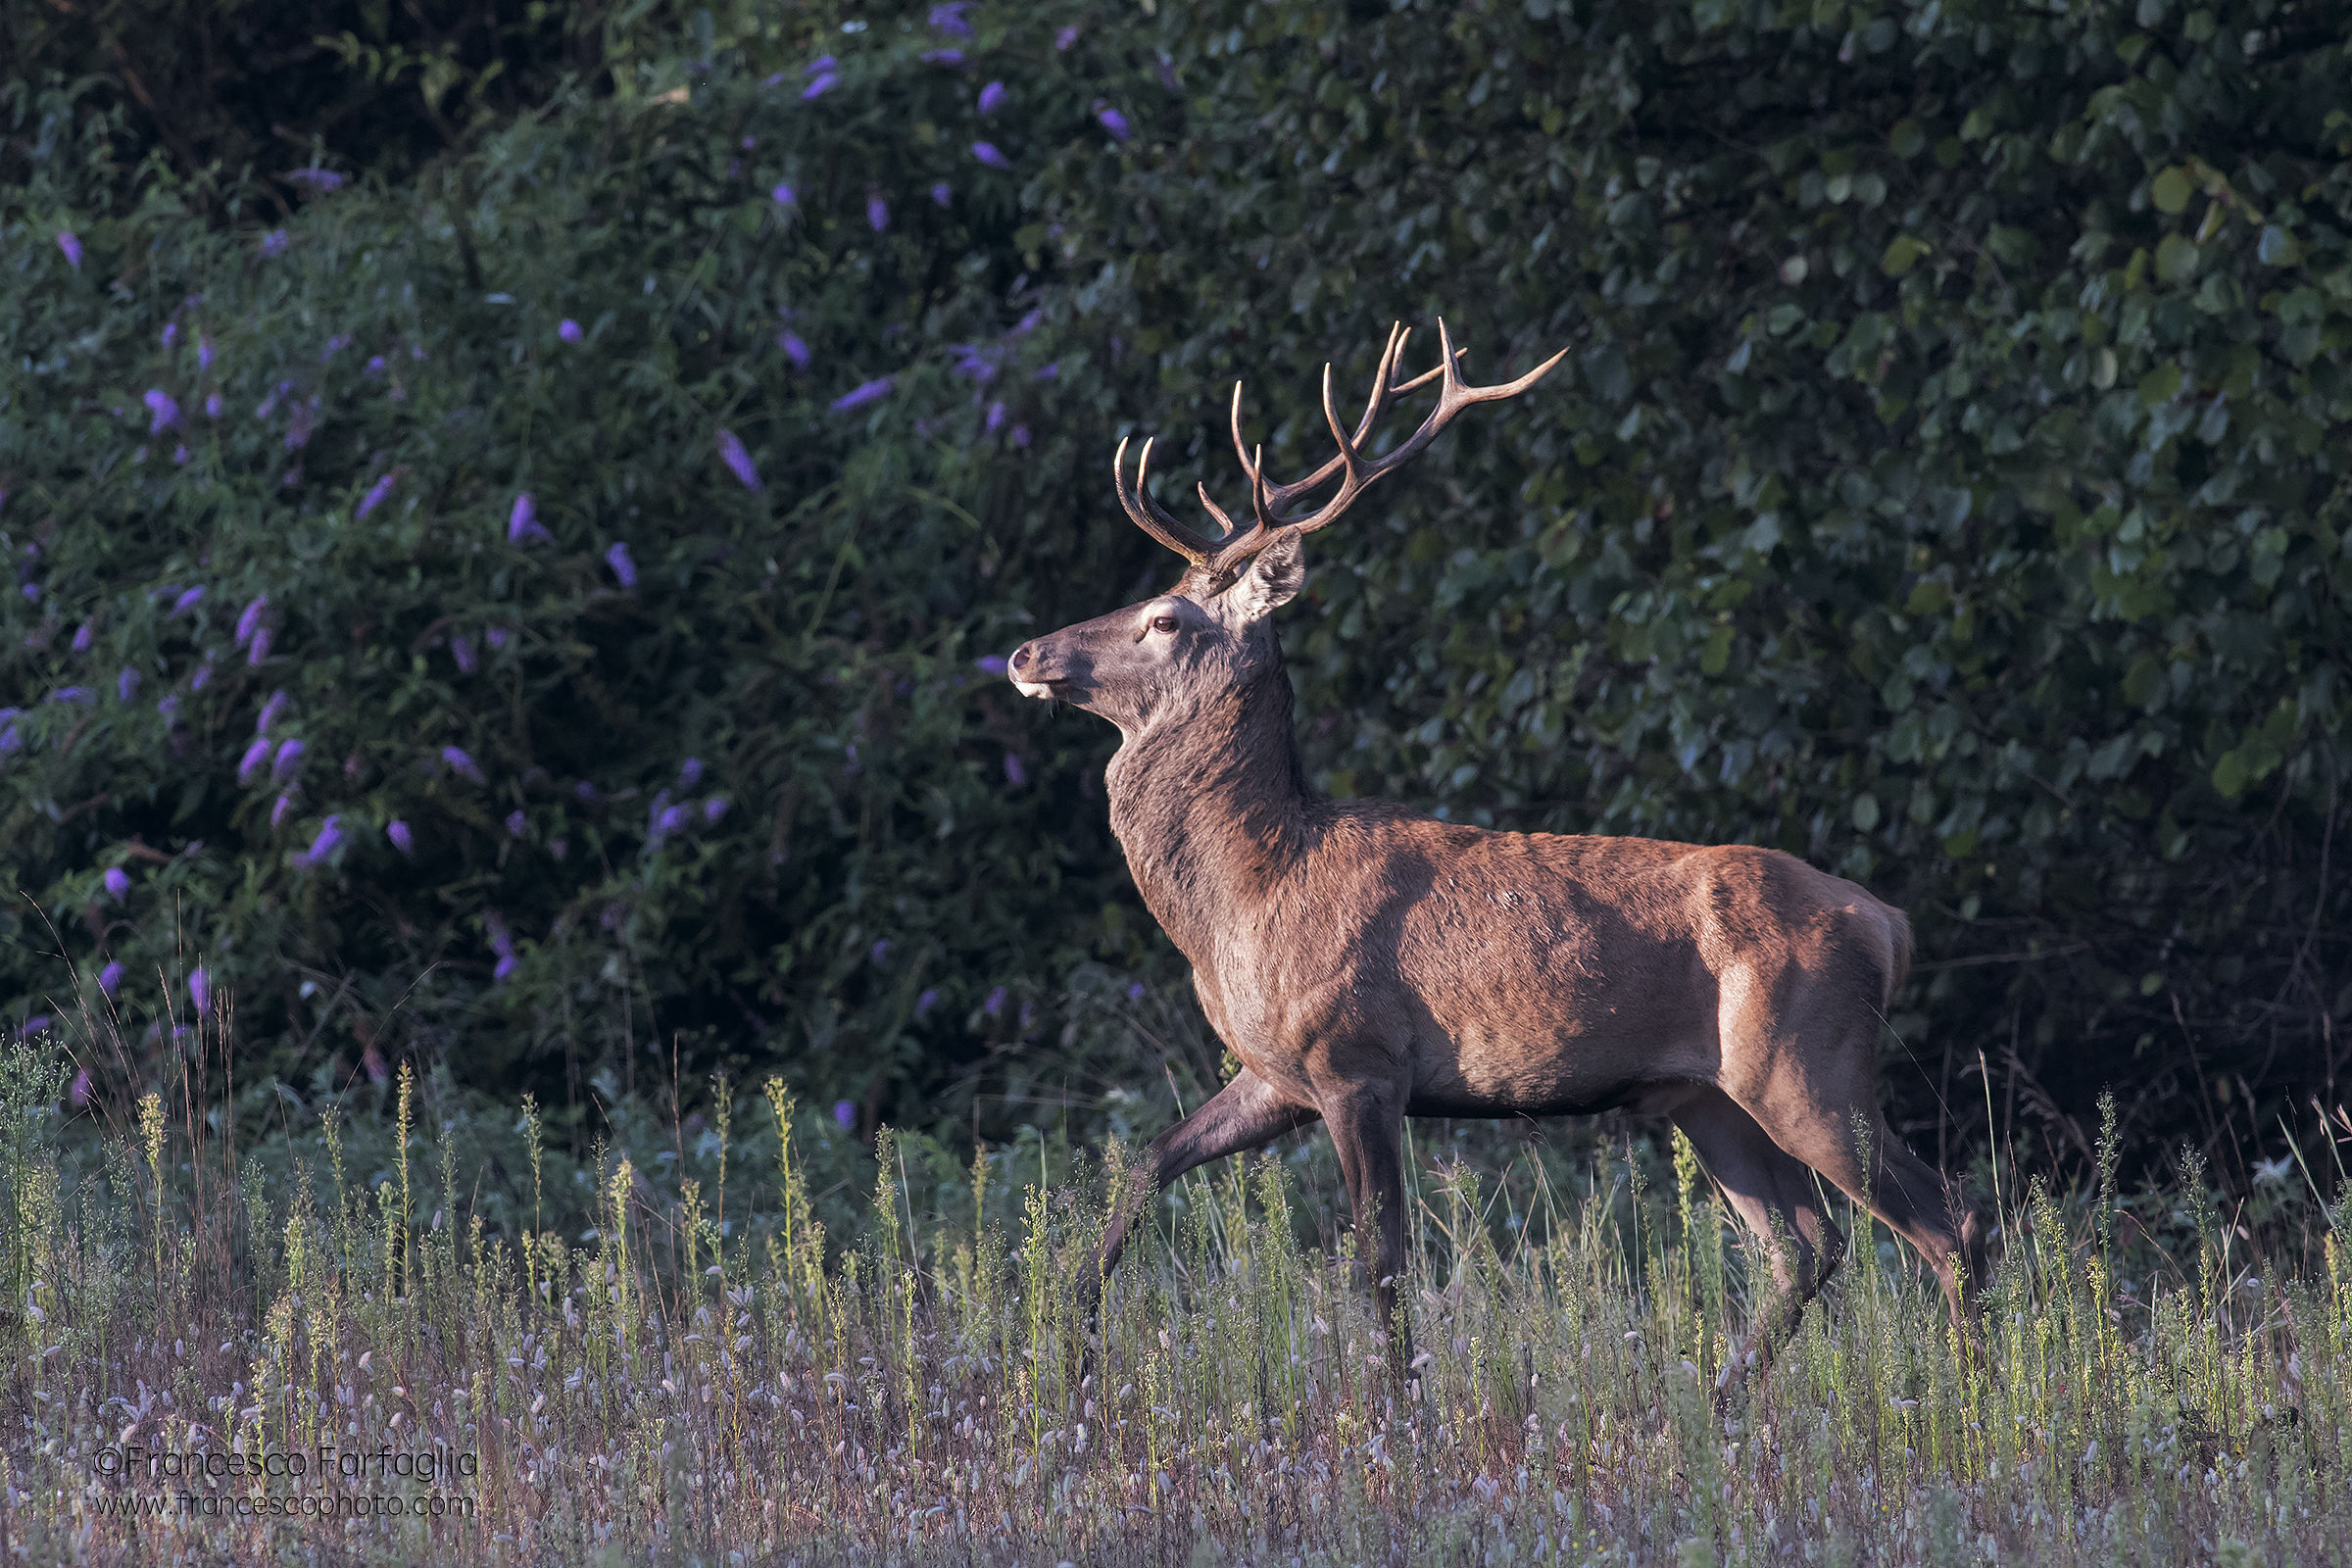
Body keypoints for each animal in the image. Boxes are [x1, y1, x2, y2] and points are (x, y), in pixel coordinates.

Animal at [1005, 321, 1985, 1391]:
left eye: (1165, 619)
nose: (1027, 653)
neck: (1244, 893)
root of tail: (1887, 922)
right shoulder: (1276, 1073)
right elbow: (1145, 1164)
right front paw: (1063, 1343)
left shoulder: (1357, 1060)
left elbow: (1382, 1268)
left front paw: (1395, 1413)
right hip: (1710, 1094)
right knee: (1805, 1244)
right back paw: (1727, 1401)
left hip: (1812, 1065)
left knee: (1949, 1223)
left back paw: (1965, 1399)